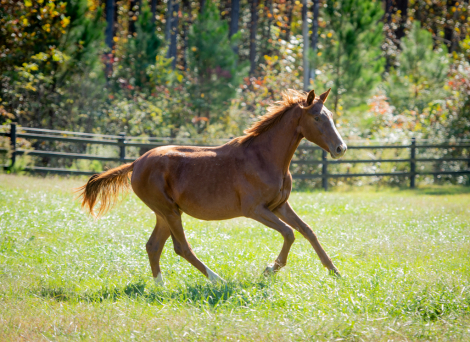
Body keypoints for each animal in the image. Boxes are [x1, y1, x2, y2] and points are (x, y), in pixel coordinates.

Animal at [79, 88, 346, 284]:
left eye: (331, 116)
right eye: (317, 117)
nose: (340, 148)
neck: (264, 157)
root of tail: (136, 163)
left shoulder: (279, 206)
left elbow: (307, 230)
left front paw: (335, 271)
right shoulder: (255, 210)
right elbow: (289, 233)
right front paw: (271, 268)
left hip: (164, 213)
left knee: (153, 246)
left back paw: (160, 286)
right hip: (169, 211)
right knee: (181, 247)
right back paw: (218, 280)